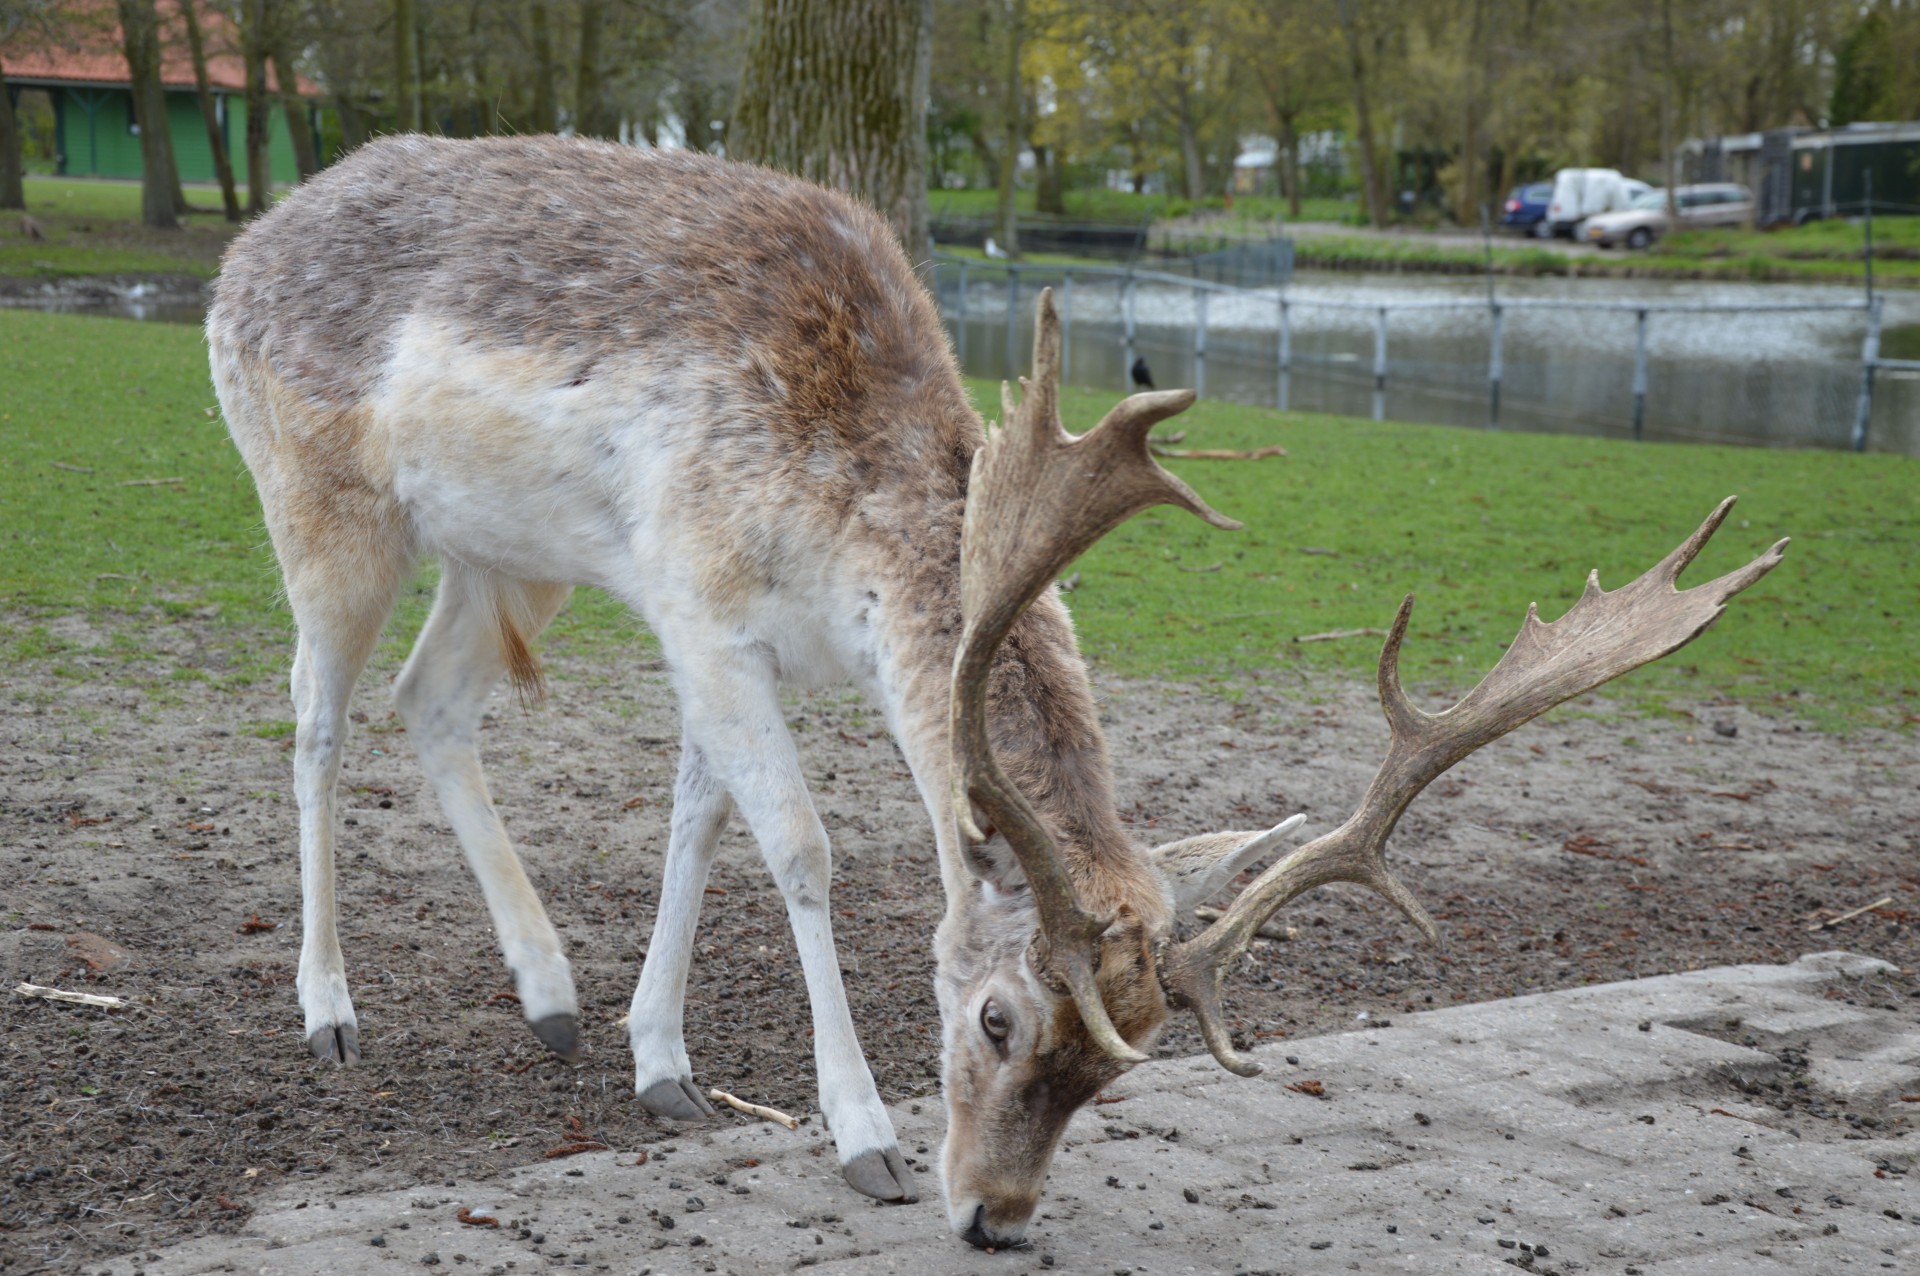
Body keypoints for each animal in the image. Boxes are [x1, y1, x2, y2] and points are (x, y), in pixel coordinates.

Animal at [214, 134, 1781, 1235]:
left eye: (1124, 1065)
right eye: (996, 1021)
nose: (995, 1218)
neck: (842, 513)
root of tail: (249, 242)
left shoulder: (712, 633)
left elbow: (697, 820)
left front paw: (657, 1060)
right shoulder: (701, 603)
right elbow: (801, 847)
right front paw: (861, 1137)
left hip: (505, 553)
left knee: (432, 702)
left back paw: (546, 991)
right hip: (321, 503)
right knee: (315, 715)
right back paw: (328, 1010)